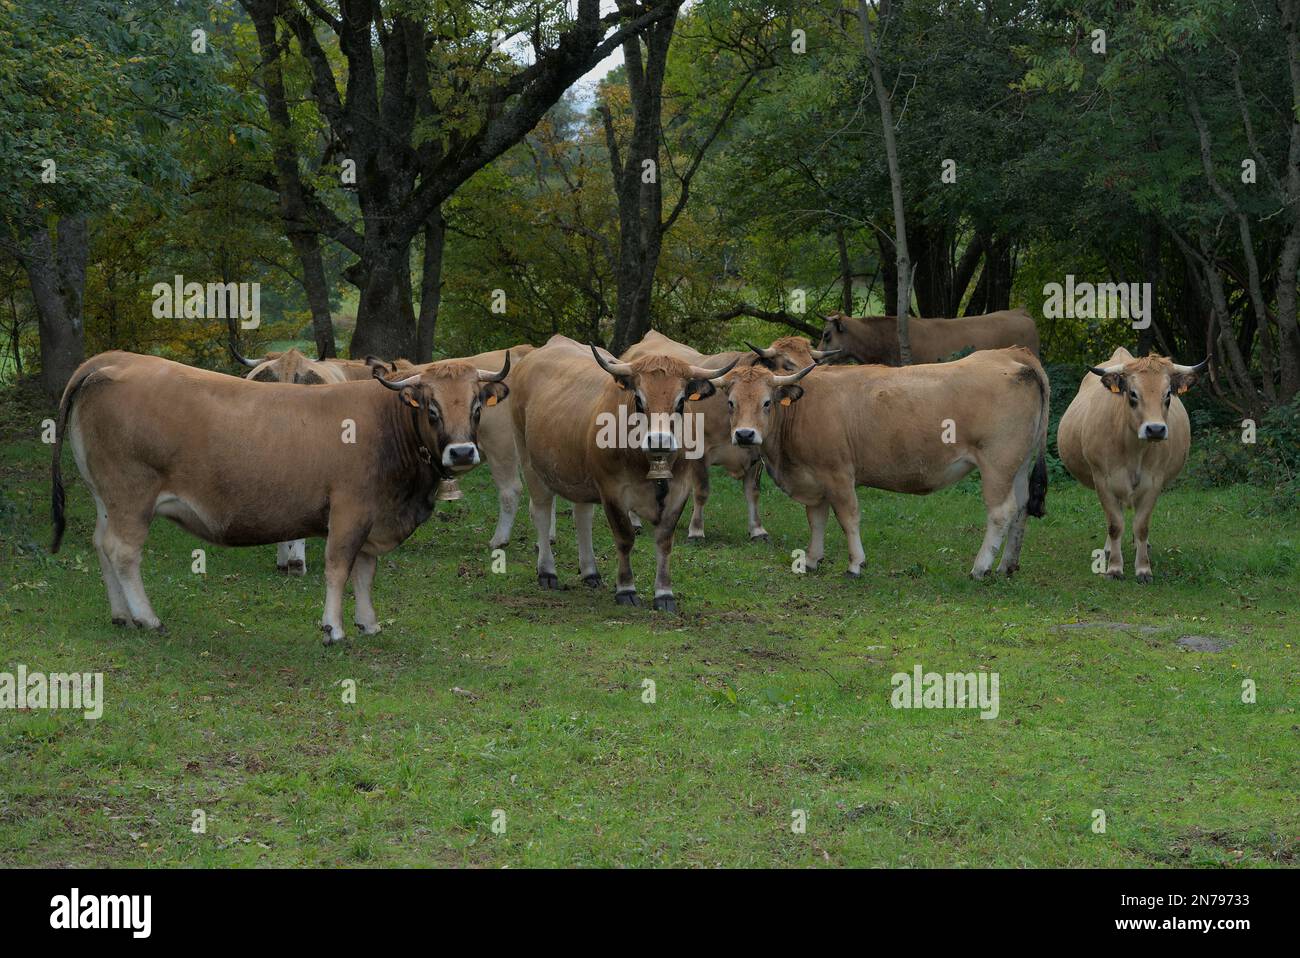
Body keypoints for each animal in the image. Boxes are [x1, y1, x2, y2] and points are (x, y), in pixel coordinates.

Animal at [50, 348, 509, 642]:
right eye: (431, 409)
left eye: (476, 408)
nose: (462, 451)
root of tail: (116, 359)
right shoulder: (350, 510)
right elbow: (339, 568)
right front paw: (333, 628)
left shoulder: (374, 516)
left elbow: (365, 571)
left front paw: (369, 623)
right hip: (132, 495)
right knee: (123, 551)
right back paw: (148, 619)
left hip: (106, 497)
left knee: (101, 545)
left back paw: (121, 616)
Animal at [504, 332, 733, 608]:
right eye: (639, 400)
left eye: (680, 402)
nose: (659, 440)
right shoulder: (611, 490)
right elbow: (624, 538)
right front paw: (626, 588)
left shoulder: (680, 490)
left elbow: (665, 541)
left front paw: (664, 593)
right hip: (528, 459)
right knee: (541, 511)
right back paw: (547, 572)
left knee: (582, 516)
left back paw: (590, 572)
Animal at [717, 348, 1050, 579]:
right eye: (731, 403)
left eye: (767, 402)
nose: (744, 435)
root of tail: (1012, 353)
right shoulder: (813, 476)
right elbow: (816, 518)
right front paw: (811, 559)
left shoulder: (838, 473)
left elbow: (848, 517)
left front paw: (855, 564)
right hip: (1018, 465)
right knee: (1021, 508)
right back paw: (1007, 566)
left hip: (997, 463)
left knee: (1001, 512)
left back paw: (980, 568)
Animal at [1055, 348, 1206, 579]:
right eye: (1133, 394)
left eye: (1168, 395)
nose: (1155, 429)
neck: (1134, 450)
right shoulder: (1103, 481)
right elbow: (1115, 524)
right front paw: (1114, 568)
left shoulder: (1153, 483)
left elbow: (1142, 526)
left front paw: (1143, 568)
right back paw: (1109, 549)